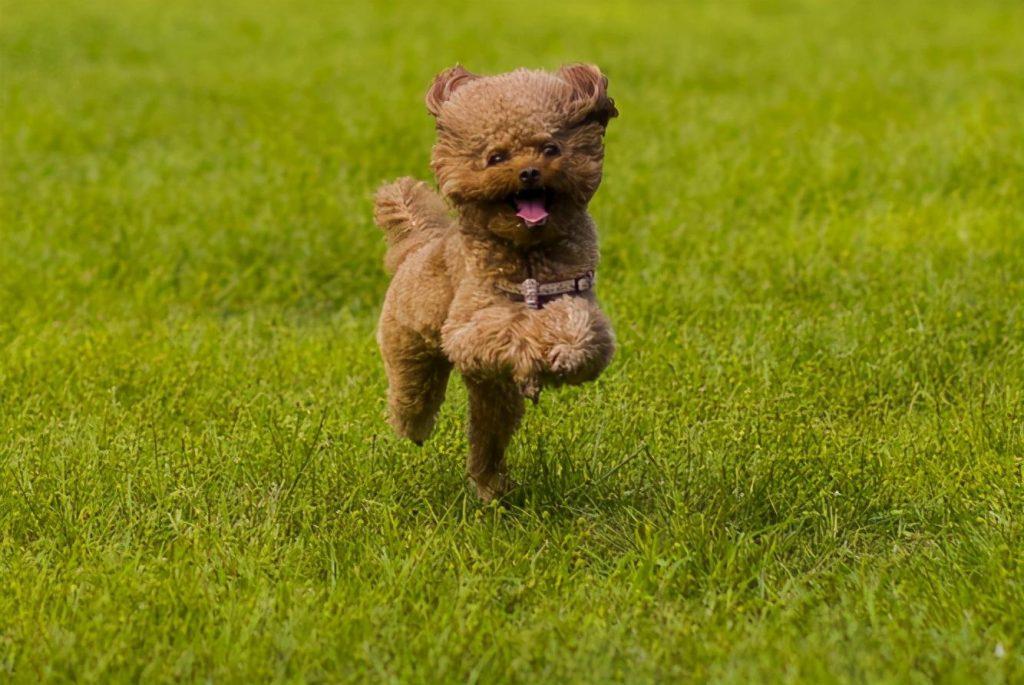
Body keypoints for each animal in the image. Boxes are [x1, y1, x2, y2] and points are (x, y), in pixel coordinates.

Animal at [374, 63, 614, 499]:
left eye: (551, 148)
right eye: (495, 157)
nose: (529, 171)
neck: (528, 255)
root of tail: (418, 242)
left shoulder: (581, 300)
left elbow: (580, 329)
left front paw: (560, 350)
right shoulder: (467, 326)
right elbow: (507, 325)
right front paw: (535, 343)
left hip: (495, 395)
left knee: (487, 437)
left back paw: (492, 488)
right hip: (409, 350)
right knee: (413, 397)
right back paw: (413, 430)